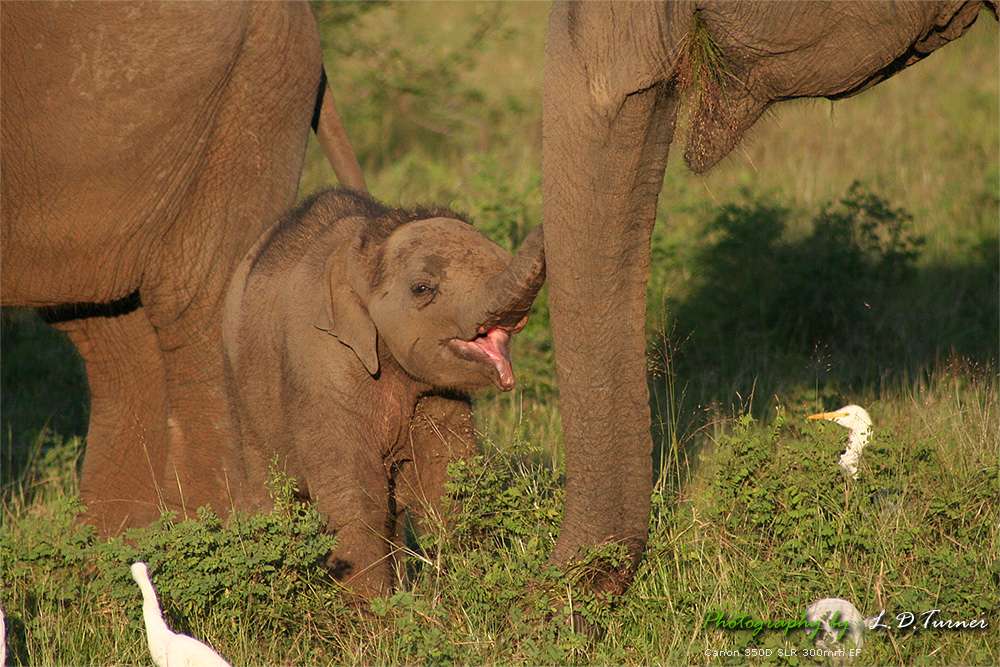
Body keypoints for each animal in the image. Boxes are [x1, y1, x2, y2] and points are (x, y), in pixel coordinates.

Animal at [226, 188, 544, 596]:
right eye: (422, 288)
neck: (365, 249)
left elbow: (443, 479)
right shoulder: (323, 366)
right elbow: (356, 494)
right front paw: (376, 612)